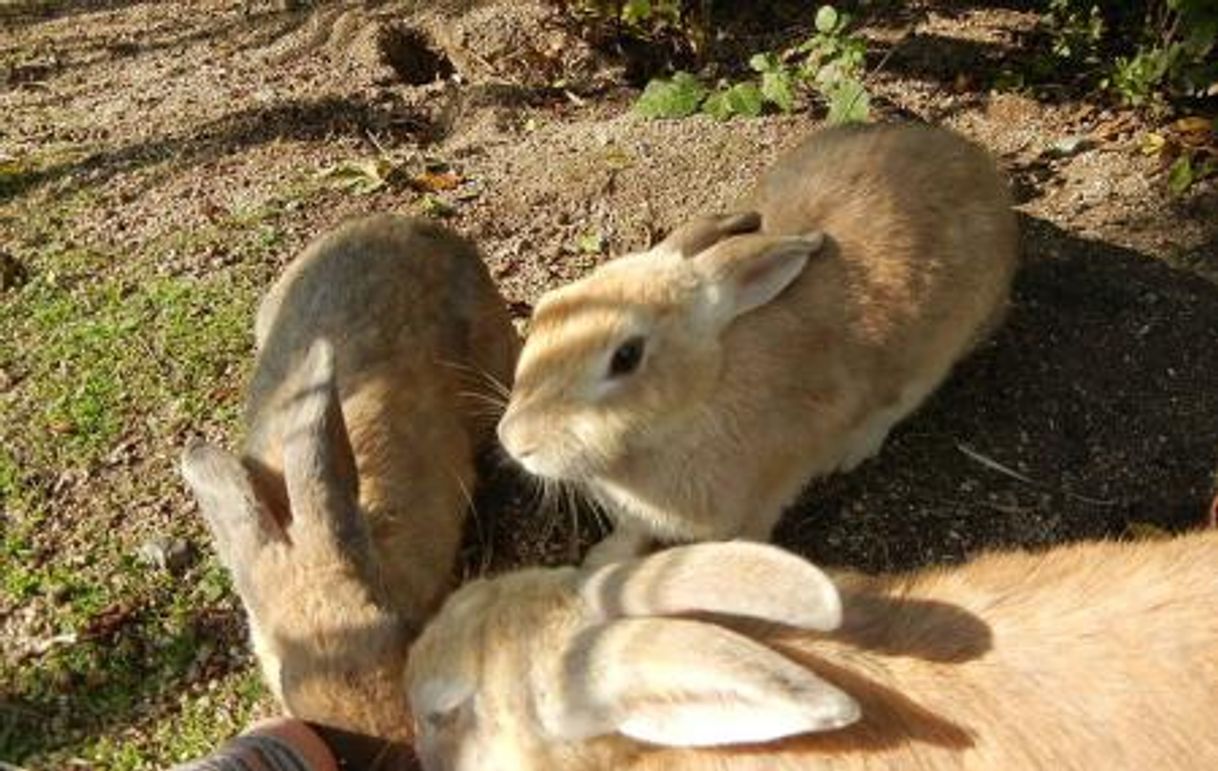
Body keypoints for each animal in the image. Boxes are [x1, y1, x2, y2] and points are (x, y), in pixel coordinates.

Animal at [494, 123, 1018, 562]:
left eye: (626, 357)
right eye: (546, 307)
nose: (515, 442)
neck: (700, 398)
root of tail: (976, 163)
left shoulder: (761, 500)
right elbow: (631, 532)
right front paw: (601, 561)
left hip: (933, 356)